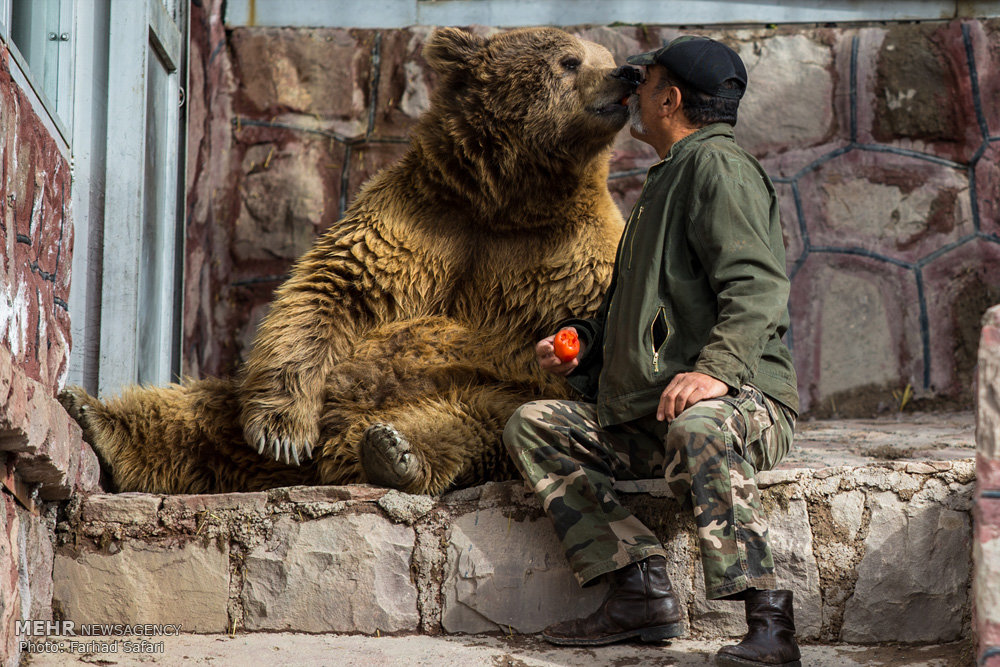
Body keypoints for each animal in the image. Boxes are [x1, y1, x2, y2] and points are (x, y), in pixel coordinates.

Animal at [64, 27, 632, 496]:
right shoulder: (422, 220)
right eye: (571, 60)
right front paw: (281, 434)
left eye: (604, 55)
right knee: (204, 415)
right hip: (289, 396)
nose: (625, 74)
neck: (506, 199)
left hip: (482, 390)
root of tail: (333, 452)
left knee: (470, 423)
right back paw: (97, 417)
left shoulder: (570, 256)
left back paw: (394, 452)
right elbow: (332, 291)